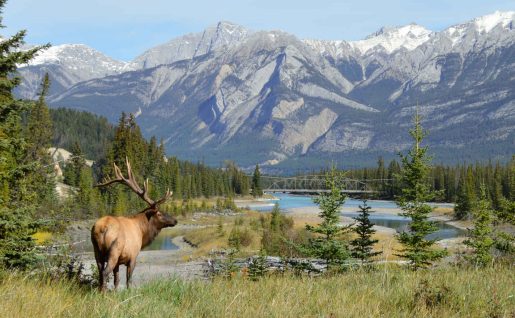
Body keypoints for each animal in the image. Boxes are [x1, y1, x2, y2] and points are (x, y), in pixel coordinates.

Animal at [92, 158, 179, 290]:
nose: (175, 220)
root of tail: (102, 228)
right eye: (159, 213)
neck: (142, 232)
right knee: (105, 272)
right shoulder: (133, 256)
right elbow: (129, 281)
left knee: (100, 273)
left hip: (96, 251)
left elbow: (117, 280)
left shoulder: (119, 262)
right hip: (114, 250)